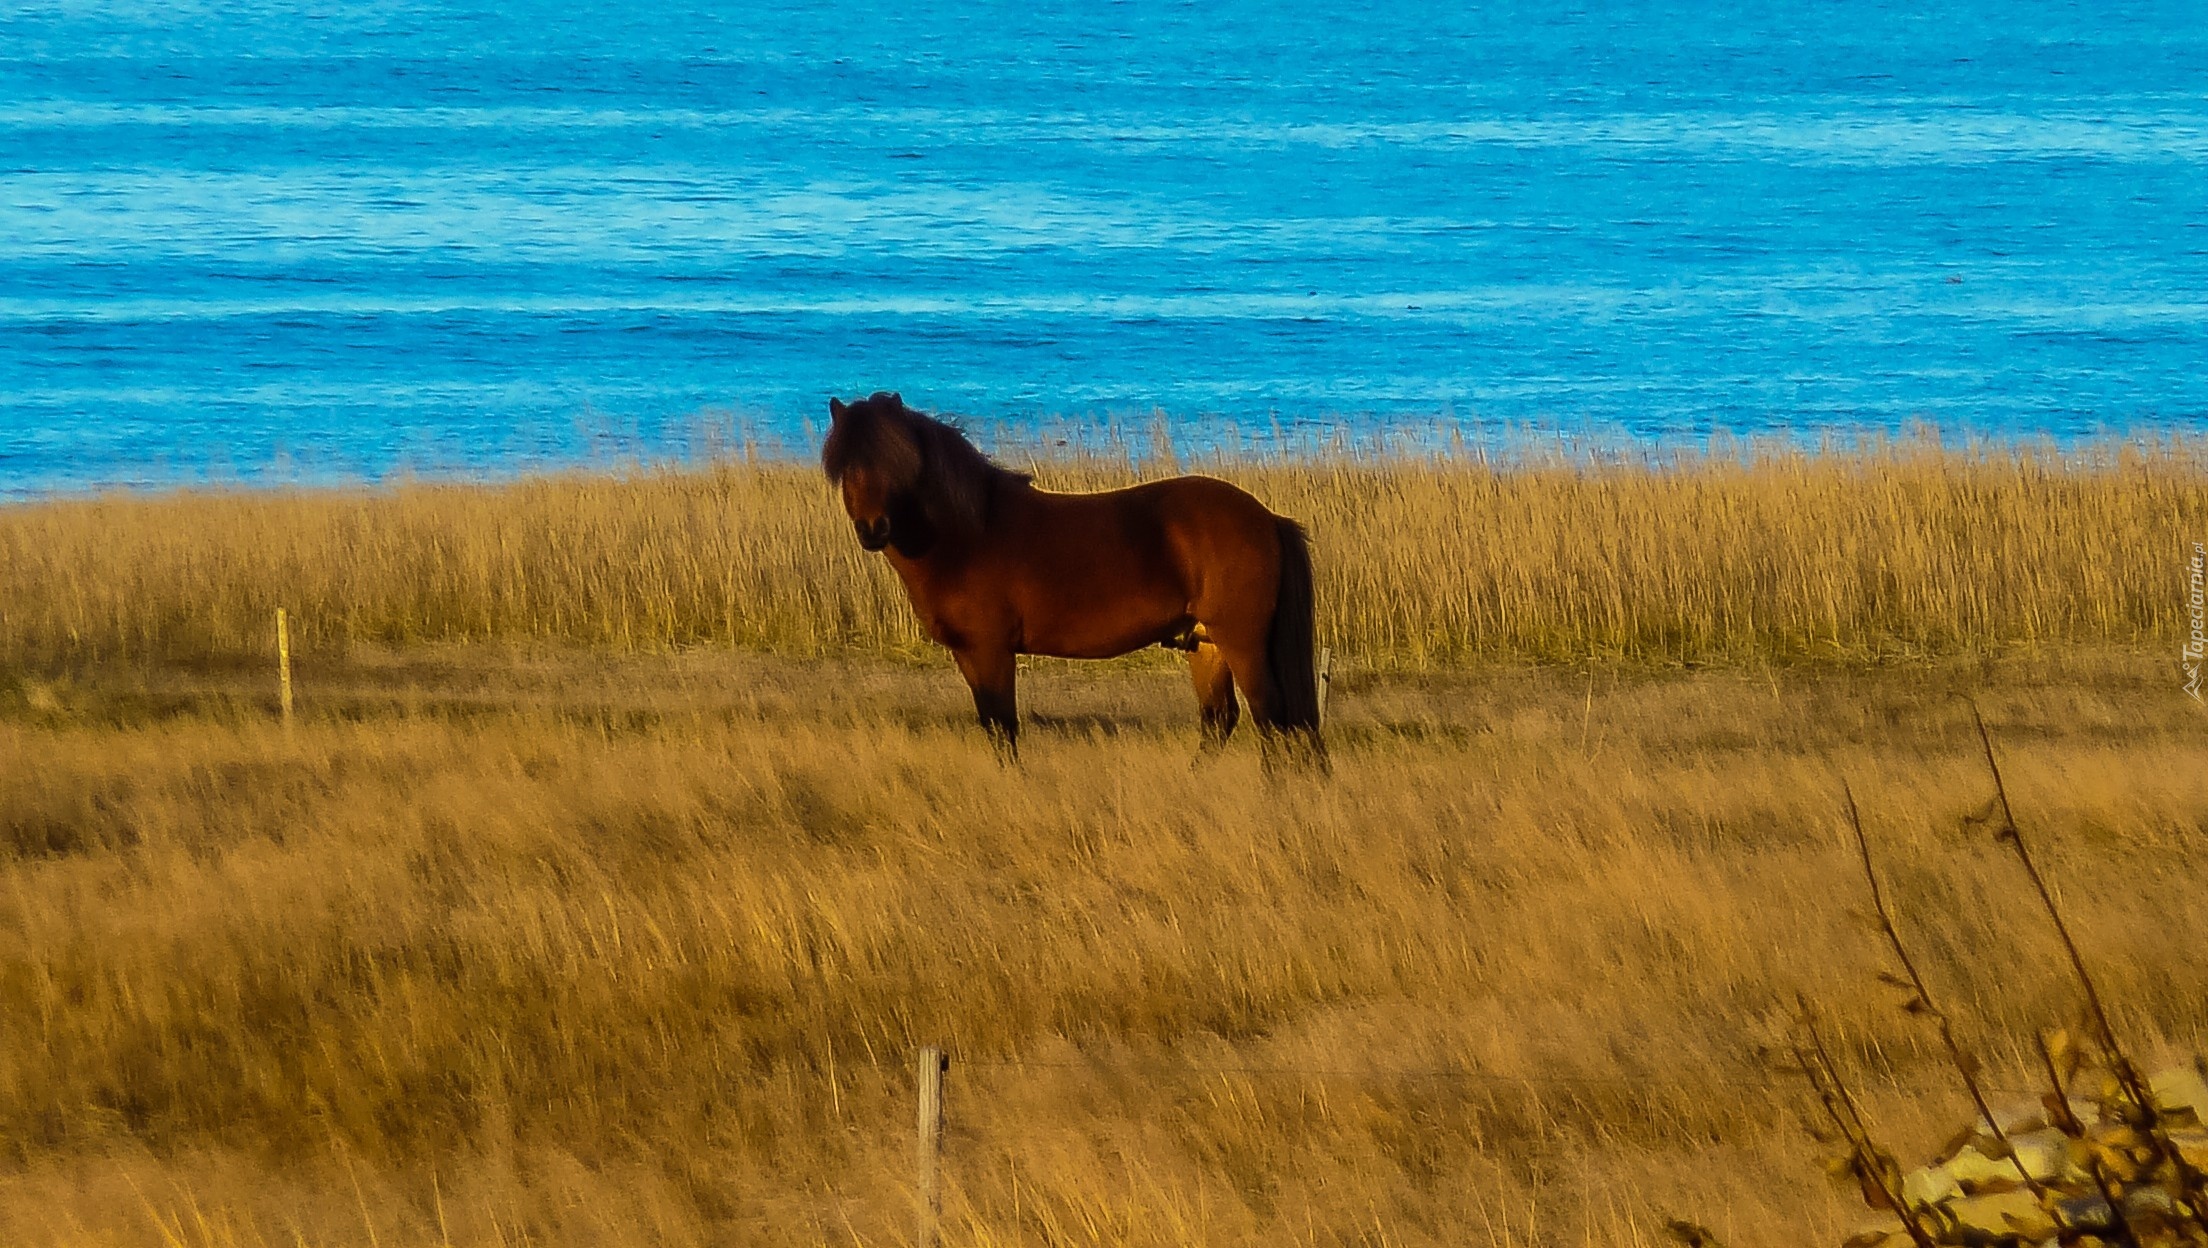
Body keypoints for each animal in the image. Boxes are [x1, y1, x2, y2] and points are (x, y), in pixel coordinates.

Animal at [825, 393, 1307, 755]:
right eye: (846, 467)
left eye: (898, 463)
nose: (872, 529)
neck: (969, 536)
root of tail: (1265, 518)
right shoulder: (968, 655)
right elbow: (993, 726)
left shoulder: (991, 651)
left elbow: (1003, 728)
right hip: (1205, 644)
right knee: (1221, 721)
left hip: (1241, 642)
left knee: (1272, 719)